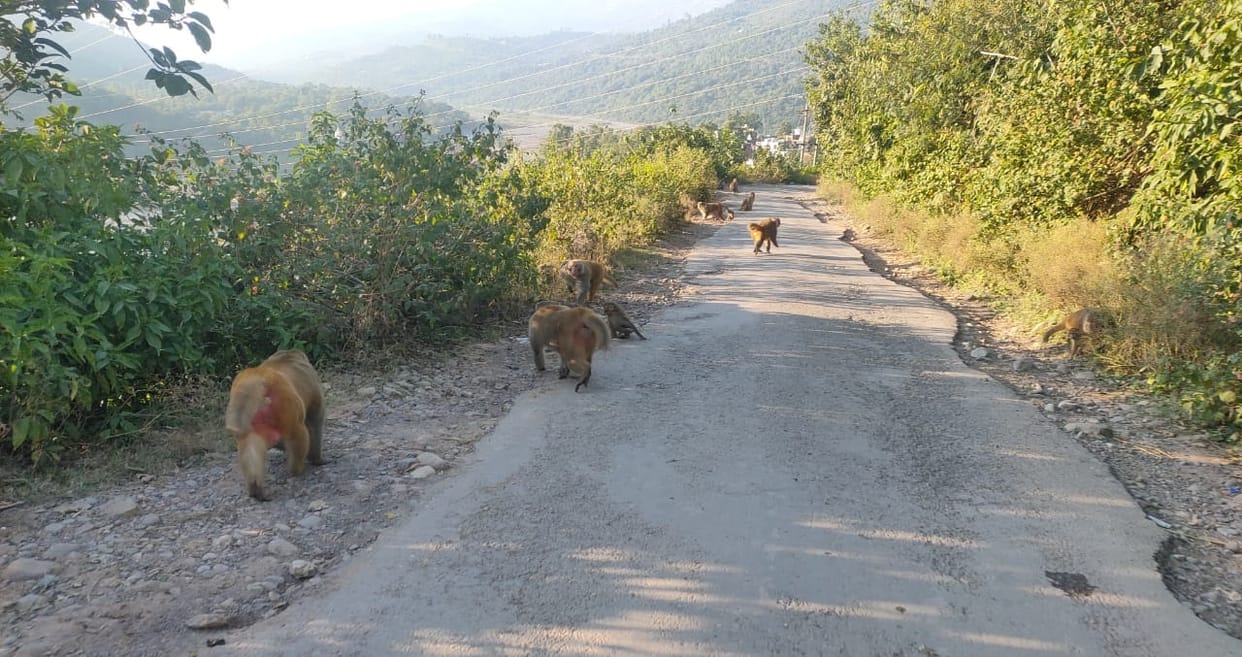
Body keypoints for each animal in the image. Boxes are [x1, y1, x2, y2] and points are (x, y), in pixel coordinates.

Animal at [224, 349, 326, 500]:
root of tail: (257, 378)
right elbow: (315, 420)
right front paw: (316, 459)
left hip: (251, 413)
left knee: (250, 445)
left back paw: (256, 489)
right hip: (285, 403)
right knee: (297, 433)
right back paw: (296, 469)